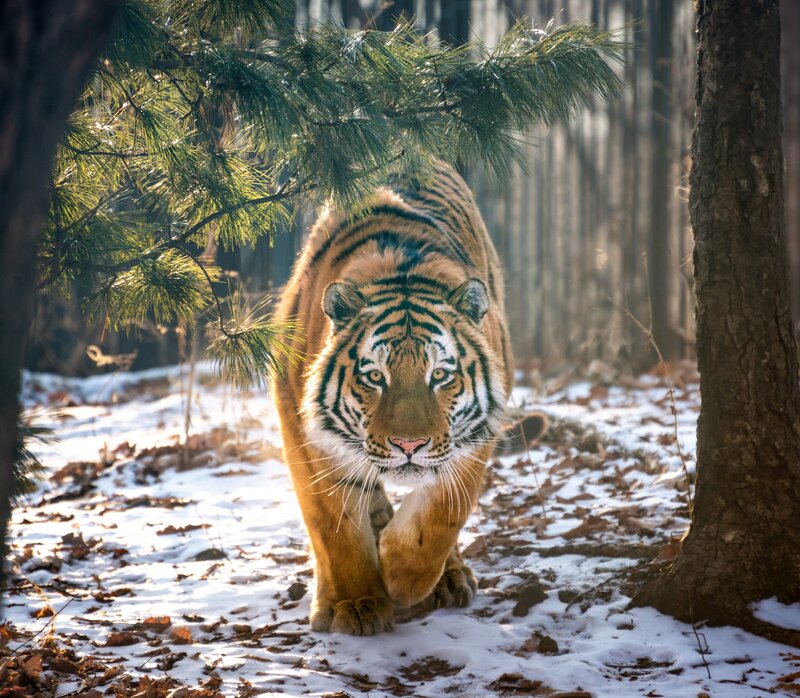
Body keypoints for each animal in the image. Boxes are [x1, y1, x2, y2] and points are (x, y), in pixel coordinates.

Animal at [273, 161, 516, 635]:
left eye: (439, 375)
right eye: (374, 376)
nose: (409, 445)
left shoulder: (475, 437)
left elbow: (440, 518)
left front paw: (400, 578)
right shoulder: (303, 432)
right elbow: (332, 525)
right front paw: (358, 604)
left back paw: (449, 578)